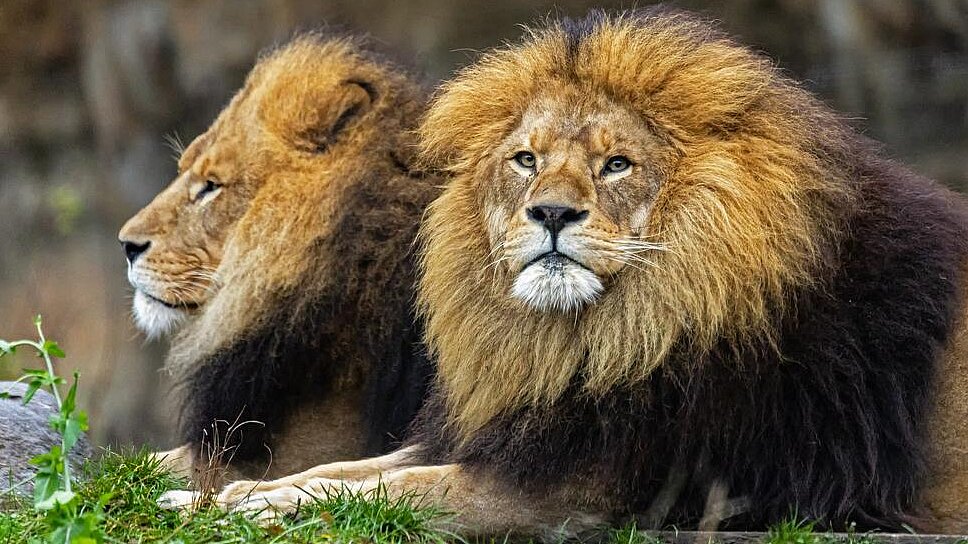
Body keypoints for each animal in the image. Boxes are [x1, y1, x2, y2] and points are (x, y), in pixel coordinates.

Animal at [161, 10, 968, 537]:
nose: (551, 212)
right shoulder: (512, 431)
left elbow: (392, 492)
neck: (583, 338)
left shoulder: (578, 493)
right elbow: (344, 473)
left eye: (617, 165)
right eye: (526, 159)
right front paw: (218, 497)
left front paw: (254, 504)